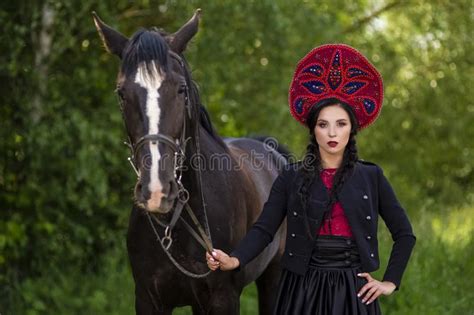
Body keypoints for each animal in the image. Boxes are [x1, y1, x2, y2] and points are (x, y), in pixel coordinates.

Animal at [91, 9, 288, 314]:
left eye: (181, 89)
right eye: (121, 93)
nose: (157, 191)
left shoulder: (223, 298)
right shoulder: (148, 299)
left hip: (273, 278)